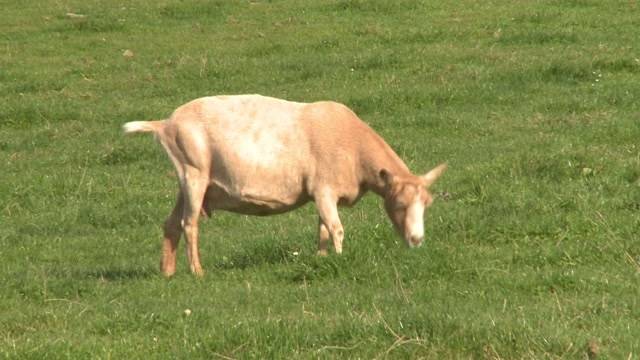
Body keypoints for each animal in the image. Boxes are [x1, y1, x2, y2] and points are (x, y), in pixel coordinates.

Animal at [124, 95, 444, 276]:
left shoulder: (322, 195)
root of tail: (164, 124)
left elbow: (323, 230)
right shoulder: (324, 189)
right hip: (194, 173)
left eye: (427, 204)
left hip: (188, 179)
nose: (417, 240)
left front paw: (321, 259)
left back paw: (167, 273)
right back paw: (197, 271)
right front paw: (341, 259)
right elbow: (336, 229)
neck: (354, 146)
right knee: (189, 224)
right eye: (400, 204)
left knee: (171, 224)